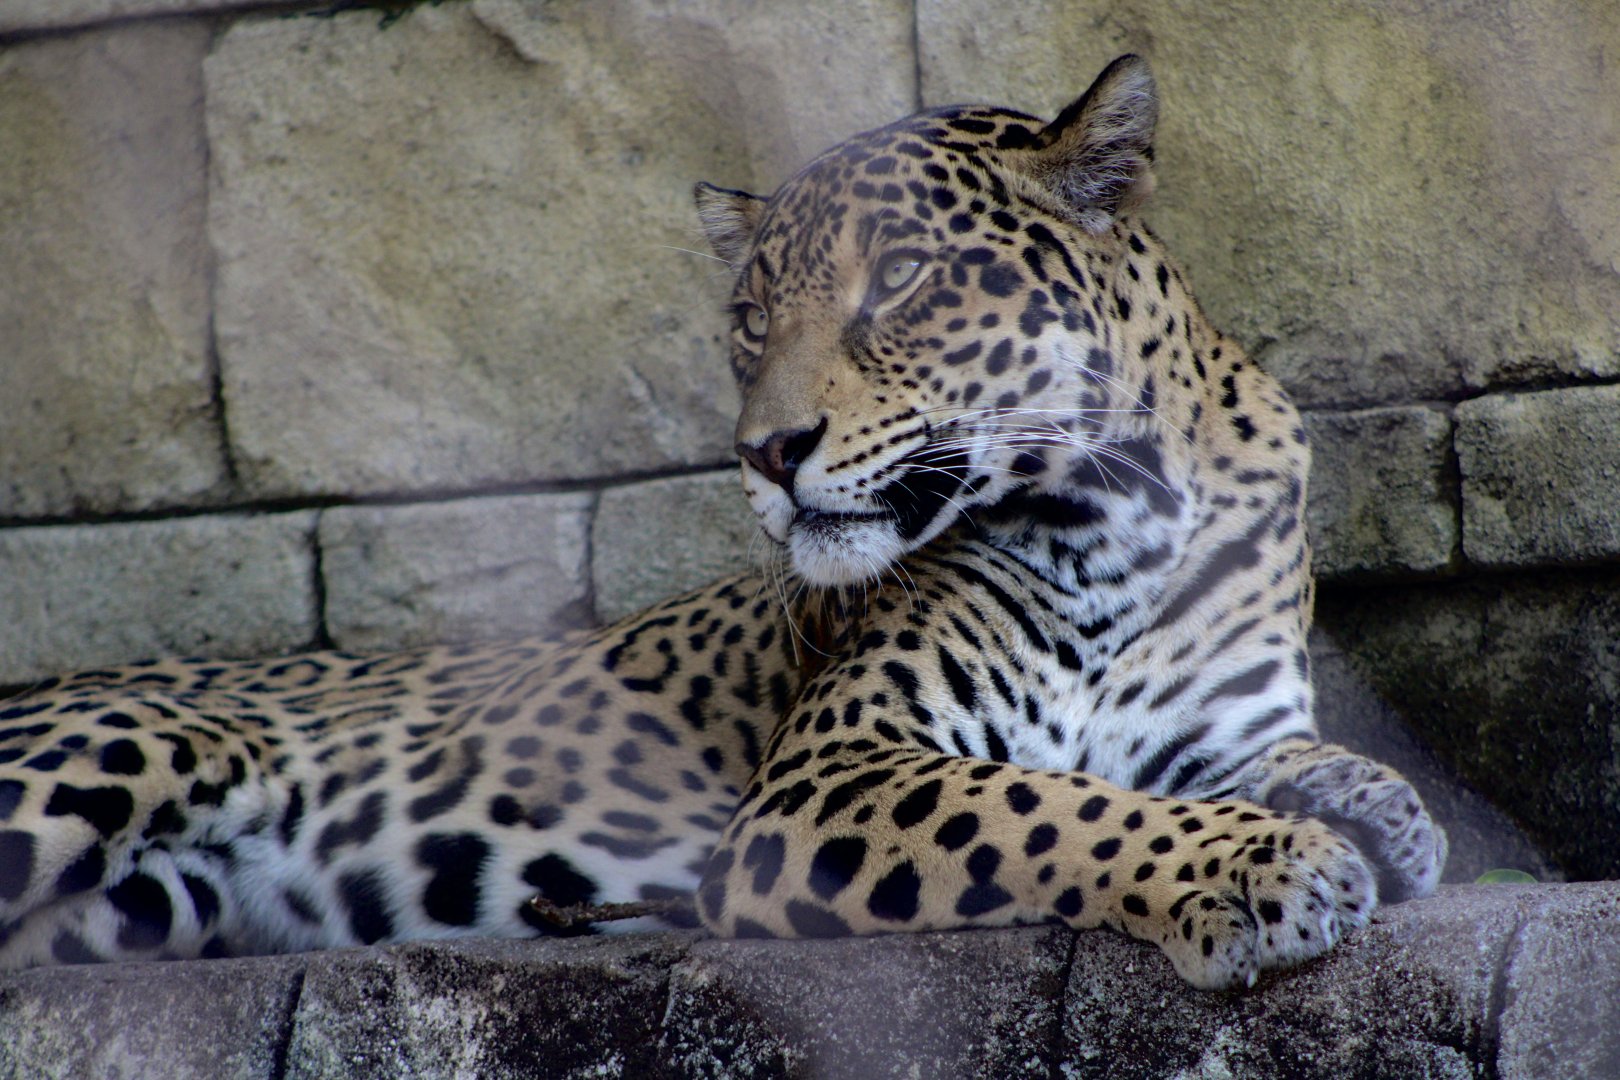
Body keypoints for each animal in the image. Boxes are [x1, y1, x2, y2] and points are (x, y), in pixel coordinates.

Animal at [0, 55, 1445, 991]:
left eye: (899, 278)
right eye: (751, 317)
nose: (766, 451)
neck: (1121, 518)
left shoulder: (1216, 729)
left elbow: (1284, 761)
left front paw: (1378, 812)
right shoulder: (830, 775)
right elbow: (1055, 811)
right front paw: (1260, 866)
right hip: (117, 752)